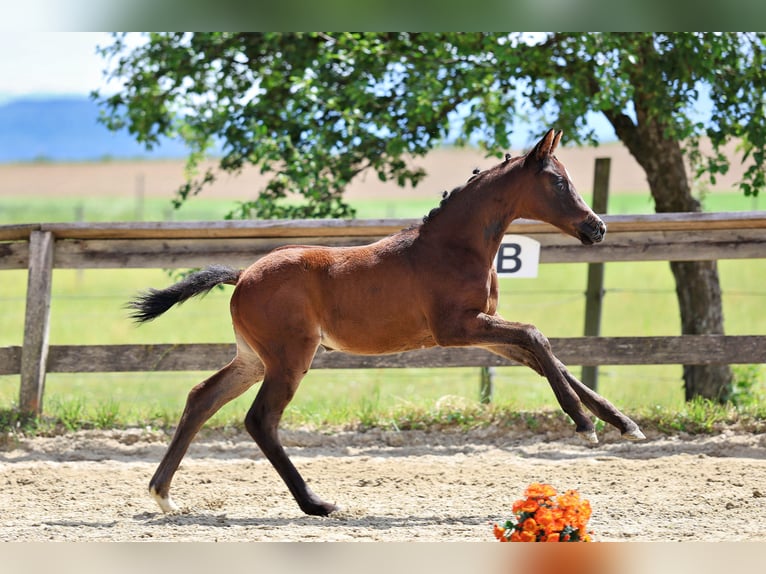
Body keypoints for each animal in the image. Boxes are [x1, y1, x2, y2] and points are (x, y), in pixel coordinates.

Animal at [128, 129, 644, 517]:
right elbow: (537, 336)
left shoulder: (486, 329)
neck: (452, 247)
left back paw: (162, 495)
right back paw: (317, 504)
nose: (596, 228)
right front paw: (583, 424)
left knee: (202, 398)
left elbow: (547, 356)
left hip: (254, 358)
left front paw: (622, 423)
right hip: (290, 357)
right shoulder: (457, 328)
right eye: (557, 181)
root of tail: (243, 275)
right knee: (260, 420)